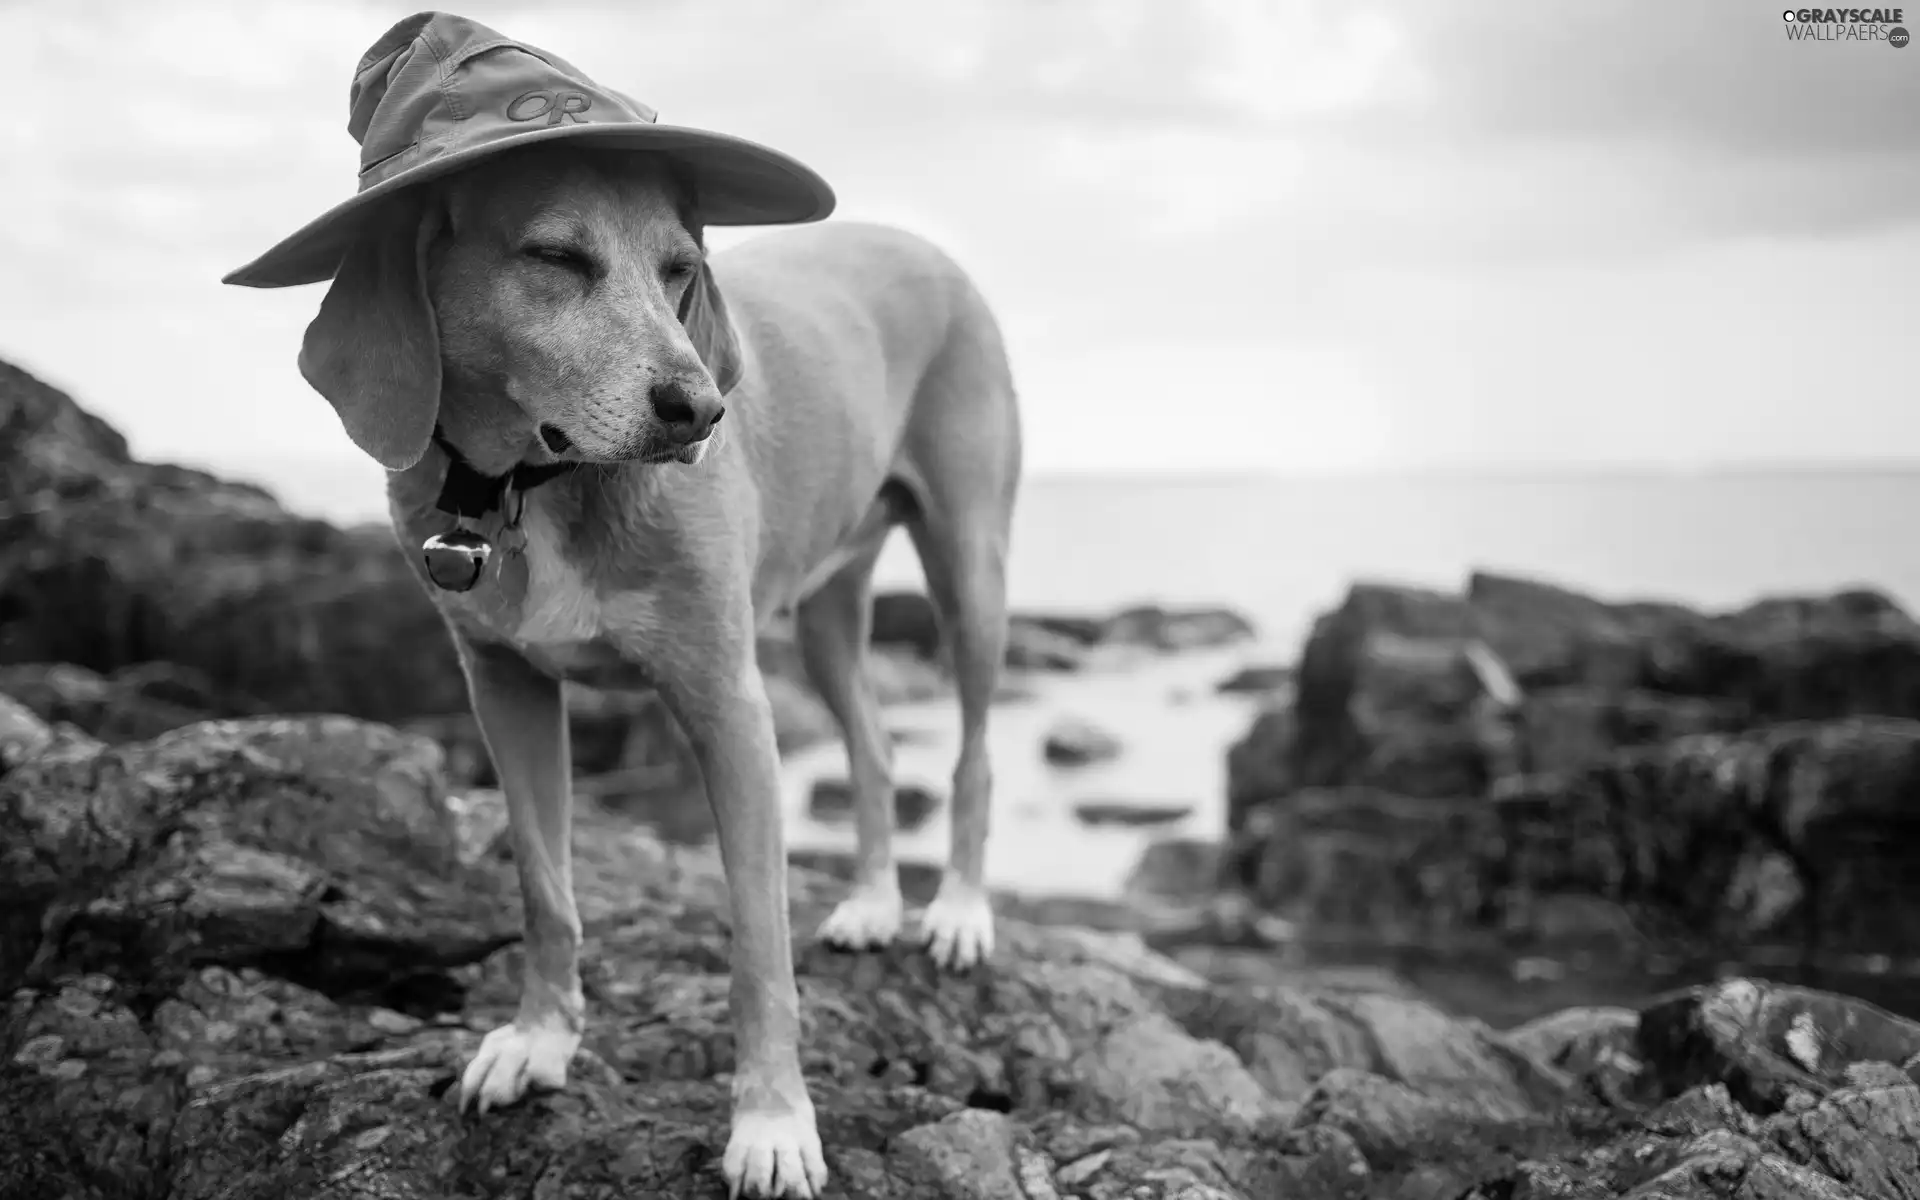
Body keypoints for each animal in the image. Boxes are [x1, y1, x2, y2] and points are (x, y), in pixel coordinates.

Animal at [295, 143, 1021, 1198]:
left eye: (682, 268)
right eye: (554, 257)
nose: (702, 410)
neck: (536, 483)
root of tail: (924, 247)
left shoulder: (729, 708)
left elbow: (759, 948)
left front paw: (772, 1122)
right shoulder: (504, 690)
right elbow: (544, 885)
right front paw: (539, 1039)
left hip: (971, 569)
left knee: (973, 753)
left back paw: (958, 911)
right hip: (827, 613)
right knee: (877, 747)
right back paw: (877, 901)